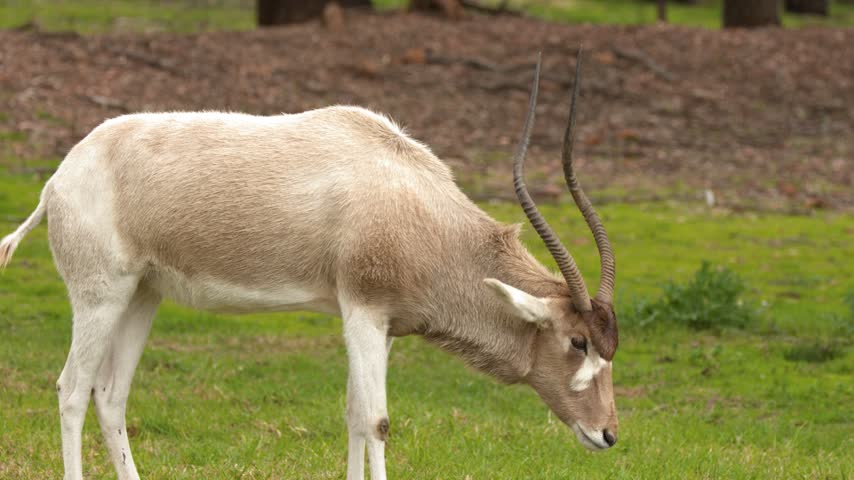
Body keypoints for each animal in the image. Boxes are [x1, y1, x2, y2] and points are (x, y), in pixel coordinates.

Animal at [1, 50, 618, 480]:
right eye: (577, 342)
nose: (608, 434)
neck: (415, 202)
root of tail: (60, 176)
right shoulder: (361, 309)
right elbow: (376, 419)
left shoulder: (382, 322)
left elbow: (354, 412)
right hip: (100, 295)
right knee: (73, 388)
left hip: (143, 296)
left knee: (110, 396)